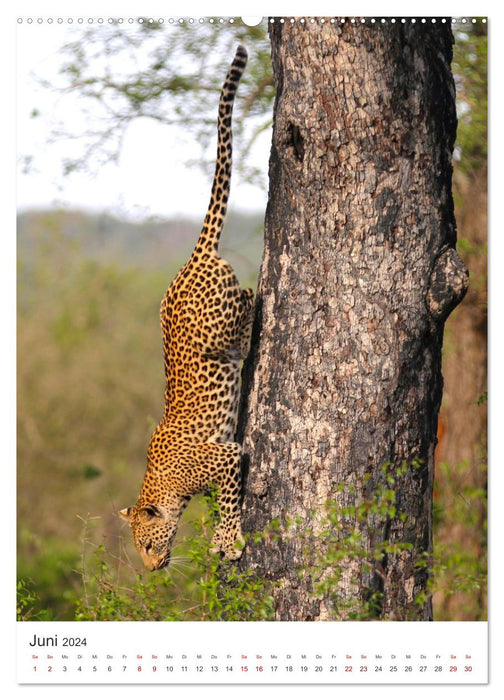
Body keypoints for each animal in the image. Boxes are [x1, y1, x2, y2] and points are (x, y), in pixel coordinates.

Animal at [119, 43, 254, 572]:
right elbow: (222, 499)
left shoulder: (229, 456)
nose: (151, 569)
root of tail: (191, 259)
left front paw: (228, 540)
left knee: (250, 299)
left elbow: (231, 500)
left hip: (221, 323)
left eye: (147, 543)